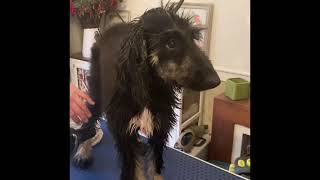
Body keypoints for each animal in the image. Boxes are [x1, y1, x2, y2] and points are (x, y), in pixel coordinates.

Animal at [70, 0, 220, 179]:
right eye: (171, 43)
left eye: (193, 37)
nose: (215, 81)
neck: (150, 87)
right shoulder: (124, 132)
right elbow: (134, 168)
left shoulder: (159, 128)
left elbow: (155, 164)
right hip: (97, 90)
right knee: (89, 121)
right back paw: (82, 153)